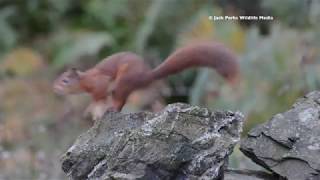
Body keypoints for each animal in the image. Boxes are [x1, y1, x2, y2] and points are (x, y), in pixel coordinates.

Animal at [53, 41, 239, 119]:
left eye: (65, 81)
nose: (54, 88)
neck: (85, 80)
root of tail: (147, 75)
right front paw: (91, 109)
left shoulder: (100, 82)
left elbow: (99, 96)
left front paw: (94, 107)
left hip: (122, 83)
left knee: (120, 101)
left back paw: (111, 109)